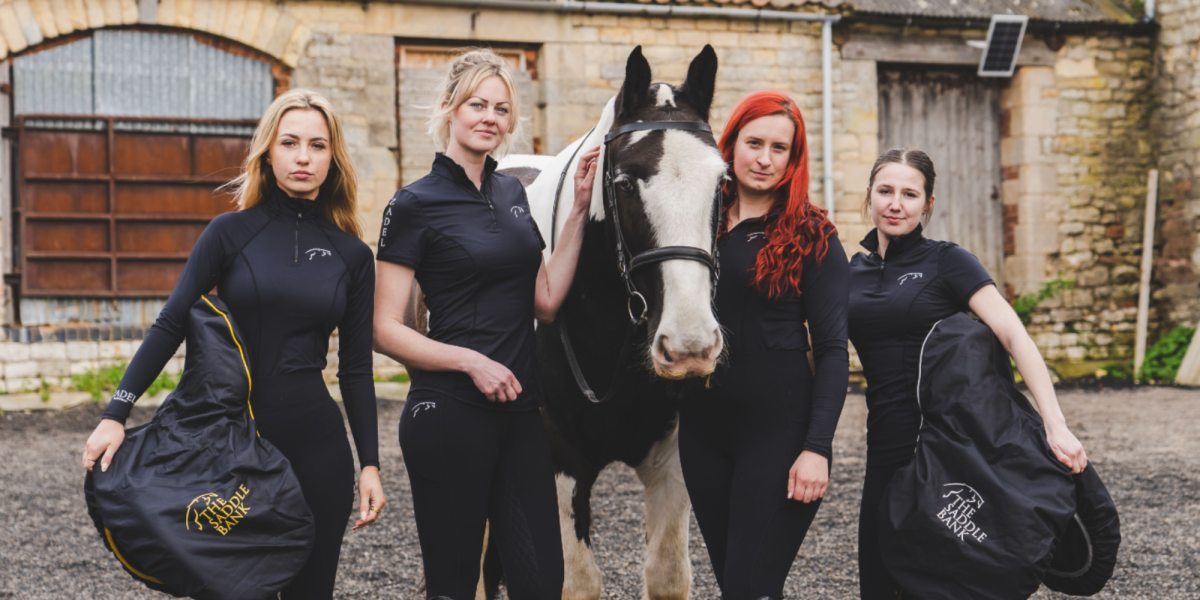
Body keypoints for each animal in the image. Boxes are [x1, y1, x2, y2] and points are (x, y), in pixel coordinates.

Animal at [494, 44, 720, 597]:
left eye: (722, 181)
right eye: (624, 182)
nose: (690, 346)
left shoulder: (671, 463)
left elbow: (667, 574)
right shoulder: (556, 463)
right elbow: (575, 581)